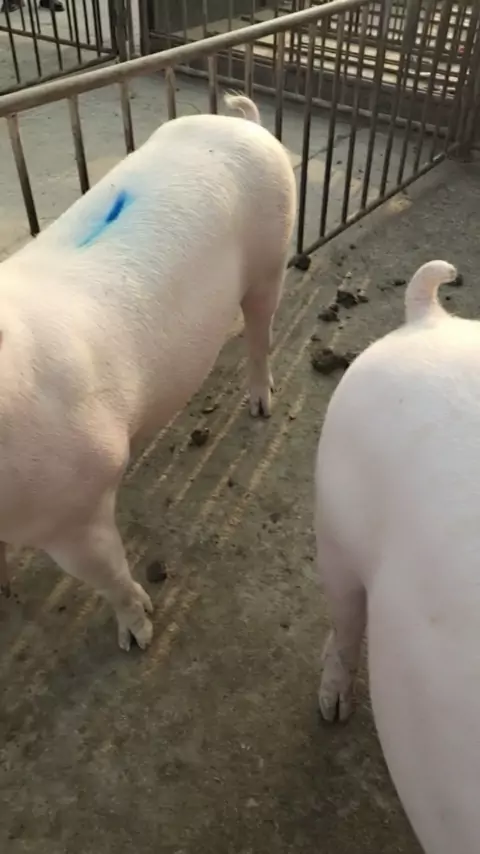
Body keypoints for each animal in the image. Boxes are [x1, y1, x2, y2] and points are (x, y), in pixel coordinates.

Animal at [0, 94, 296, 650]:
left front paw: (138, 637)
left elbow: (109, 573)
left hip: (273, 254)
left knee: (259, 332)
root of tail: (246, 126)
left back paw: (261, 406)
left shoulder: (79, 499)